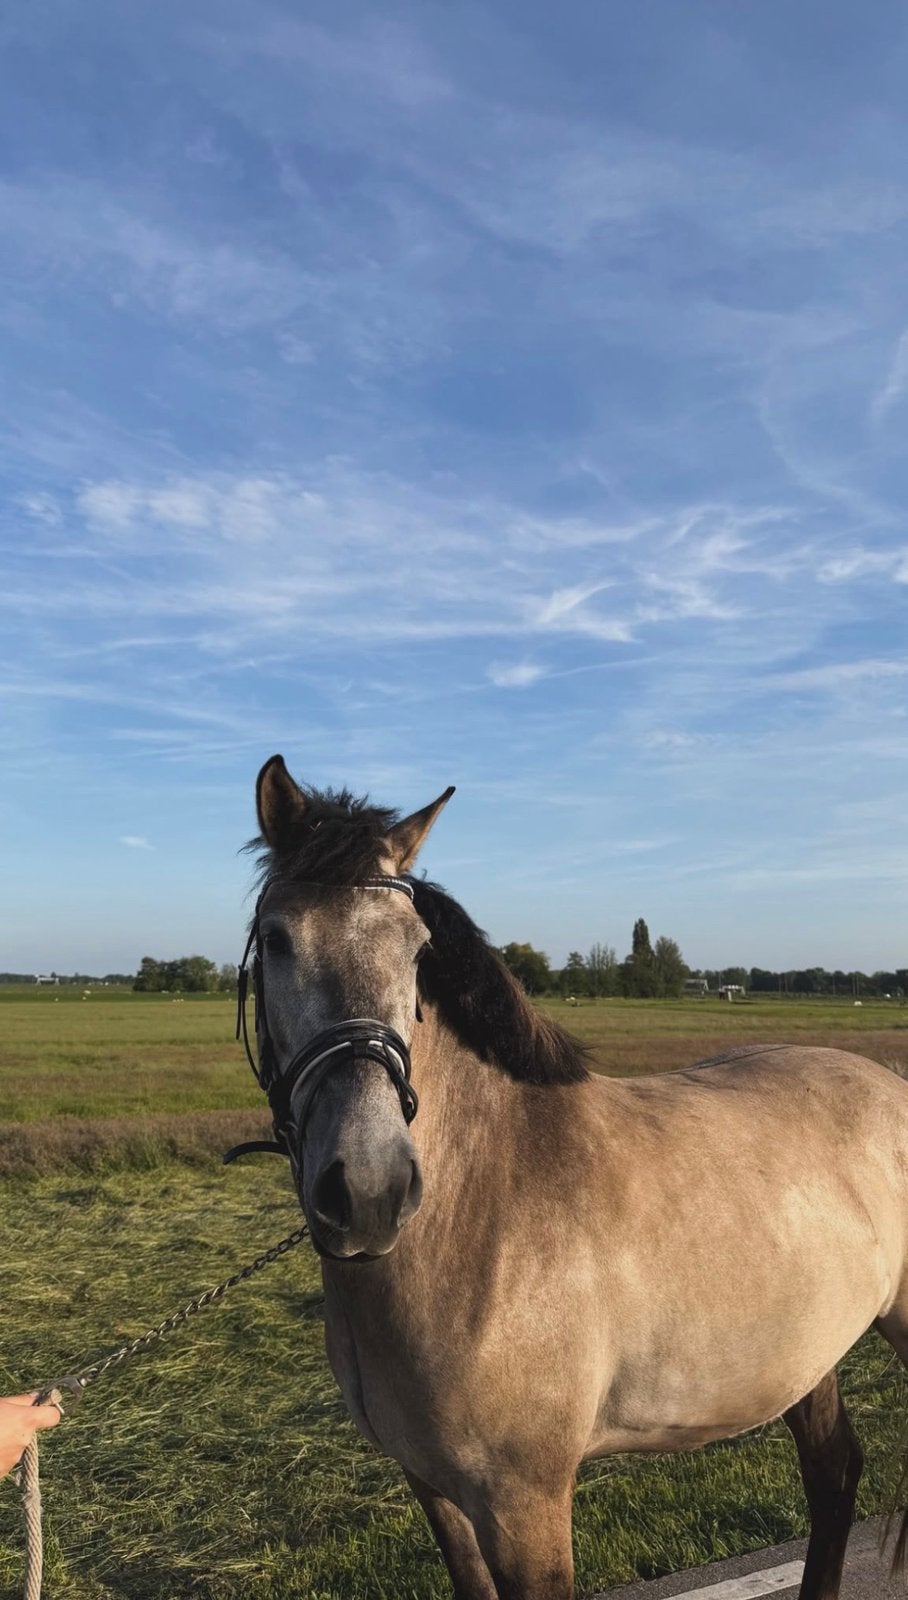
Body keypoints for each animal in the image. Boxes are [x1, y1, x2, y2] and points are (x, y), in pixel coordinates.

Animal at [234, 752, 908, 1600]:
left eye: (419, 952)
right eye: (277, 939)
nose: (369, 1189)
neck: (480, 1214)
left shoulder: (524, 1505)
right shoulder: (433, 1492)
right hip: (801, 1360)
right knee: (833, 1474)